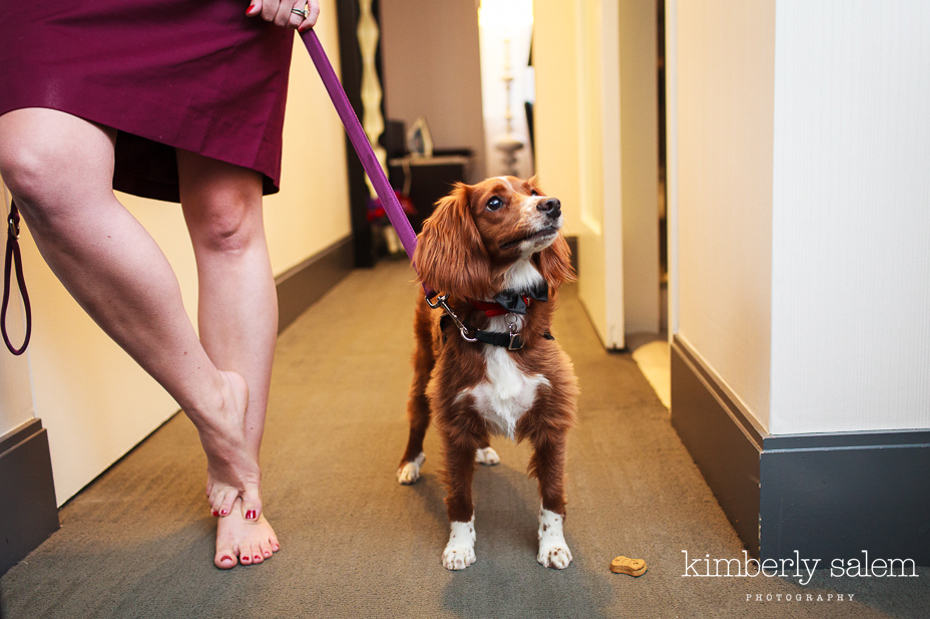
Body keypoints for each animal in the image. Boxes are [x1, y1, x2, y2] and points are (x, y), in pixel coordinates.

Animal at [396, 176, 576, 572]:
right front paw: (459, 547)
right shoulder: (453, 421)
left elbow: (553, 494)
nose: (553, 204)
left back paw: (483, 450)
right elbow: (460, 497)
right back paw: (409, 464)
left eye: (534, 193)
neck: (501, 314)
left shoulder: (552, 420)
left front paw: (553, 546)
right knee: (417, 417)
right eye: (494, 203)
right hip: (423, 374)